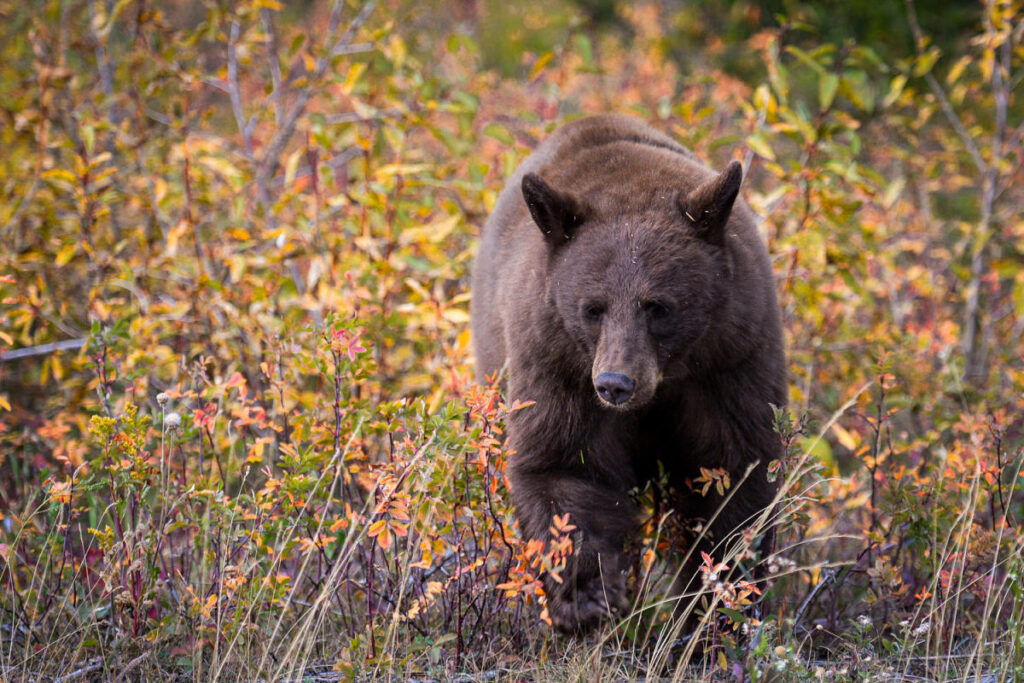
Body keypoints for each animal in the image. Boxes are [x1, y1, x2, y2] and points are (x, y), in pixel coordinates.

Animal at [468, 114, 786, 634]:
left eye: (657, 306)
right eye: (592, 308)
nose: (615, 384)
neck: (663, 384)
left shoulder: (732, 357)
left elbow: (733, 473)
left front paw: (715, 607)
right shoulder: (557, 362)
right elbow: (564, 466)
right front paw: (587, 598)